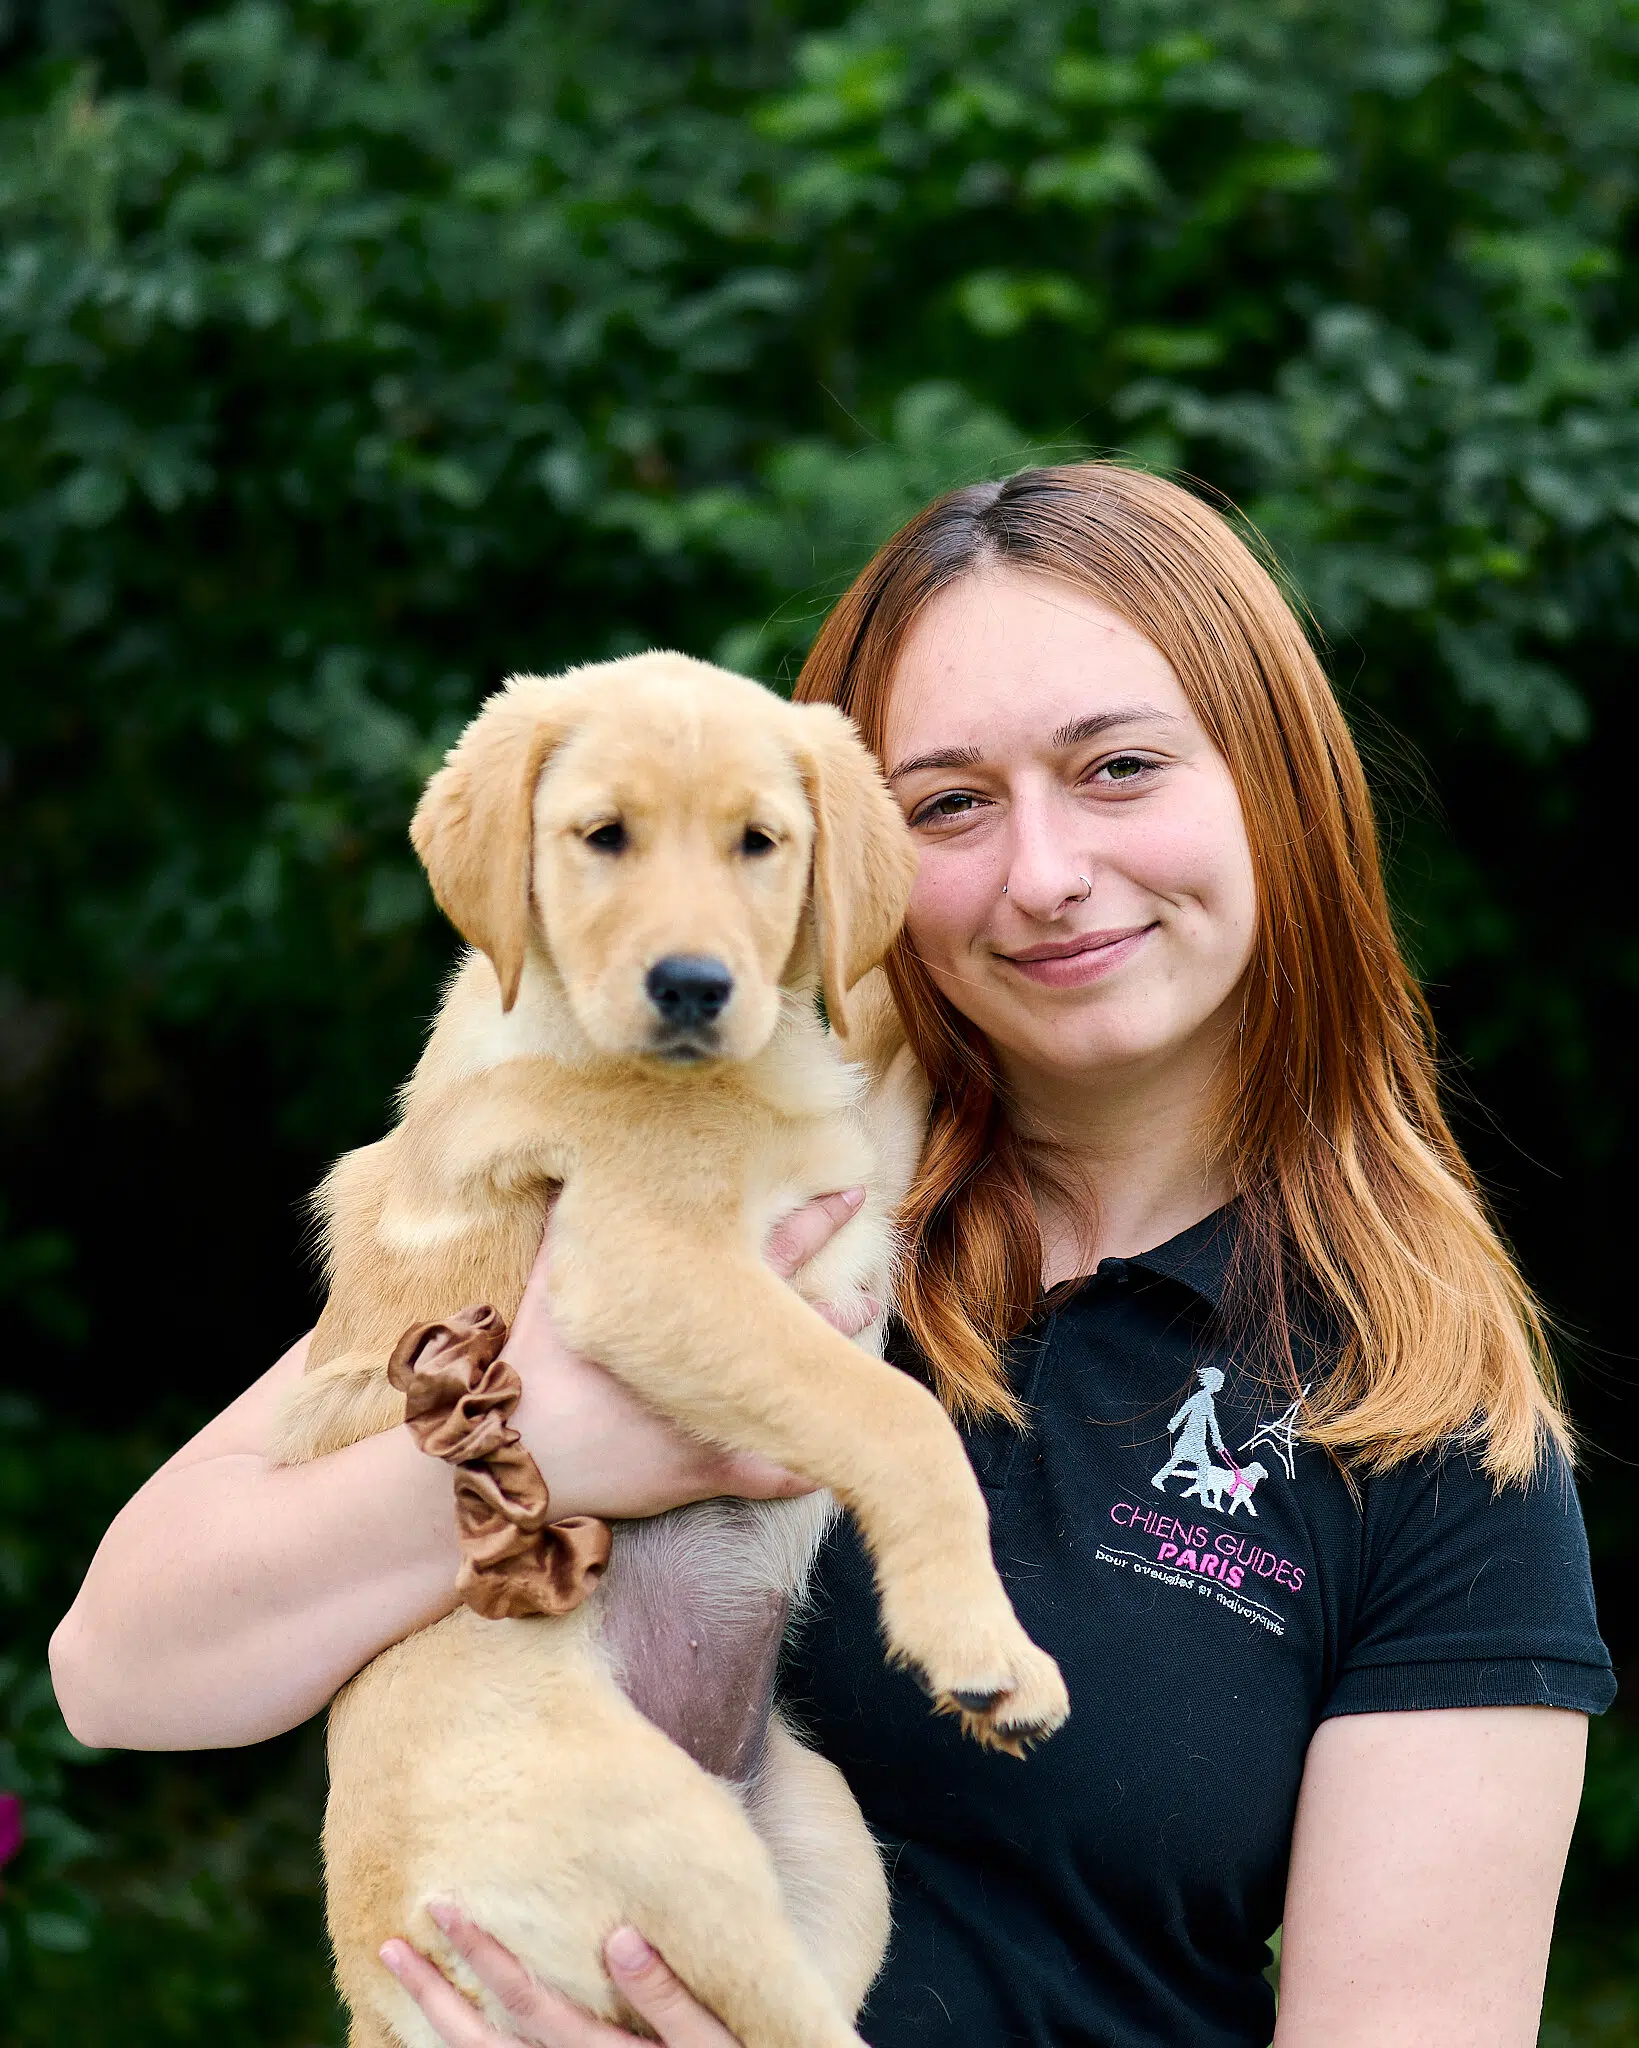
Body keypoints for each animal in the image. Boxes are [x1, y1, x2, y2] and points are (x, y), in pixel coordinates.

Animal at [272, 651, 1073, 2048]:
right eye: (603, 836)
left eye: (761, 842)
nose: (696, 984)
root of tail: (380, 1993)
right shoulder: (653, 1265)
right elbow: (892, 1417)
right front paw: (980, 1638)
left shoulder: (852, 1177)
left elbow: (878, 1060)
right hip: (658, 1827)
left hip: (825, 1836)